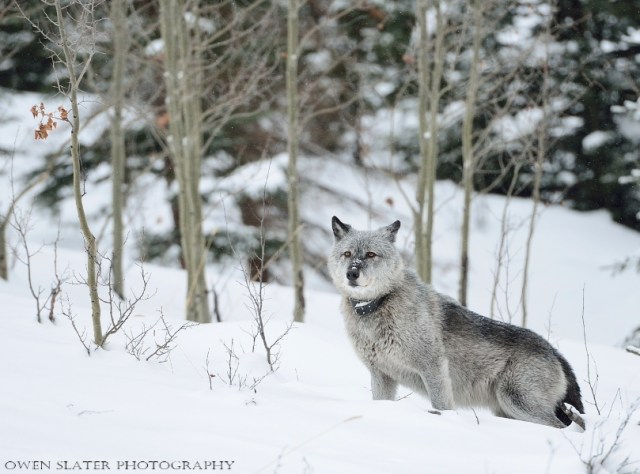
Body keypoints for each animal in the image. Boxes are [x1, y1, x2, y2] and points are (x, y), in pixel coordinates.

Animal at [328, 216, 584, 428]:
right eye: (347, 254)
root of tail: (554, 352)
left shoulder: (433, 367)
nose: (352, 273)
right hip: (507, 408)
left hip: (517, 402)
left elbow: (442, 406)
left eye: (371, 255)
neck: (378, 306)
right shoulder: (381, 375)